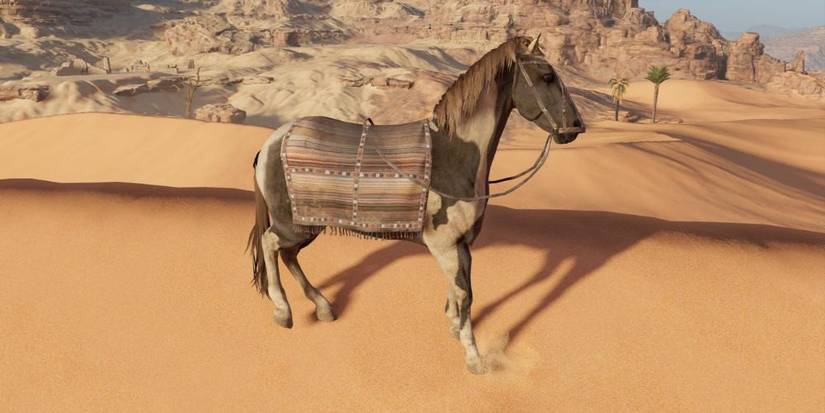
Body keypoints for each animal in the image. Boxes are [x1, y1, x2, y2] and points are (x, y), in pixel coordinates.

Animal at [248, 35, 585, 374]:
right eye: (547, 76)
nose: (575, 127)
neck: (455, 153)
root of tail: (272, 142)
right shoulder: (444, 244)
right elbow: (465, 294)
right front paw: (474, 357)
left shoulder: (461, 244)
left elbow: (460, 289)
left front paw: (454, 328)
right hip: (292, 224)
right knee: (270, 243)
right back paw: (283, 311)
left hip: (306, 224)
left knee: (289, 254)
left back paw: (323, 307)